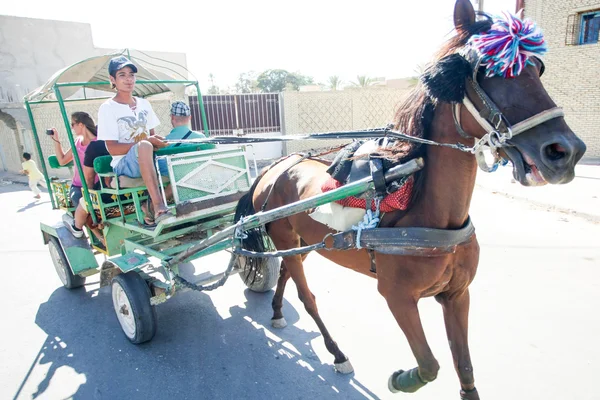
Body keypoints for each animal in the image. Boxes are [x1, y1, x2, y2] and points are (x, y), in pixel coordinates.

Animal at [233, 1, 584, 398]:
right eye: (487, 70)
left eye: (538, 68)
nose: (565, 151)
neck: (428, 215)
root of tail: (277, 165)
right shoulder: (397, 297)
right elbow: (430, 365)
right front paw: (403, 378)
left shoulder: (458, 294)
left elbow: (465, 370)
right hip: (286, 239)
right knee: (307, 297)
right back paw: (336, 352)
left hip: (301, 242)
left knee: (286, 274)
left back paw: (278, 312)